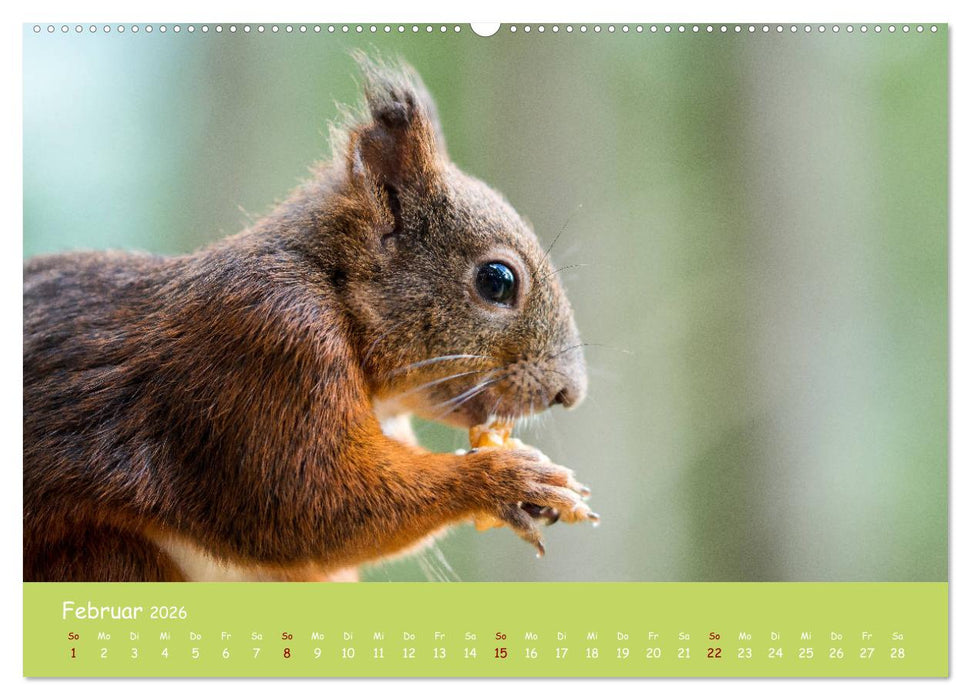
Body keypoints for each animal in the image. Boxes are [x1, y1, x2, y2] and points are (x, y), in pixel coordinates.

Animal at [23, 56, 594, 582]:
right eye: (497, 281)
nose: (569, 393)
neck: (333, 287)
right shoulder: (270, 345)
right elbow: (309, 501)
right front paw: (501, 479)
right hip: (106, 558)